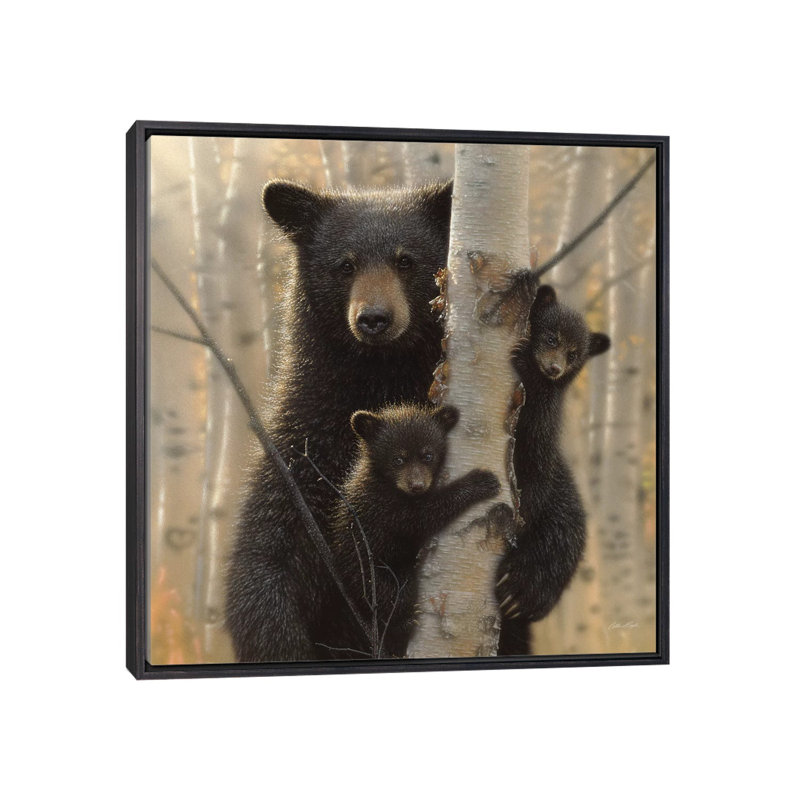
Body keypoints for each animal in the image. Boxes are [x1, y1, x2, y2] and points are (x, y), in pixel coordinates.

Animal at [225, 180, 453, 662]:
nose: (374, 318)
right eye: (345, 265)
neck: (380, 380)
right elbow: (266, 559)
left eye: (406, 260)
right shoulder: (304, 449)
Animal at [316, 404, 501, 659]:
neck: (386, 482)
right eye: (397, 459)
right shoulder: (383, 506)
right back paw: (404, 622)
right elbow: (422, 517)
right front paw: (480, 481)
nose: (417, 485)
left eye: (428, 455)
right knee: (390, 595)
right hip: (371, 573)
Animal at [495, 284, 610, 655]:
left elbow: (535, 468)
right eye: (550, 337)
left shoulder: (542, 430)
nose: (555, 368)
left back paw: (519, 591)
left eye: (574, 354)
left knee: (562, 538)